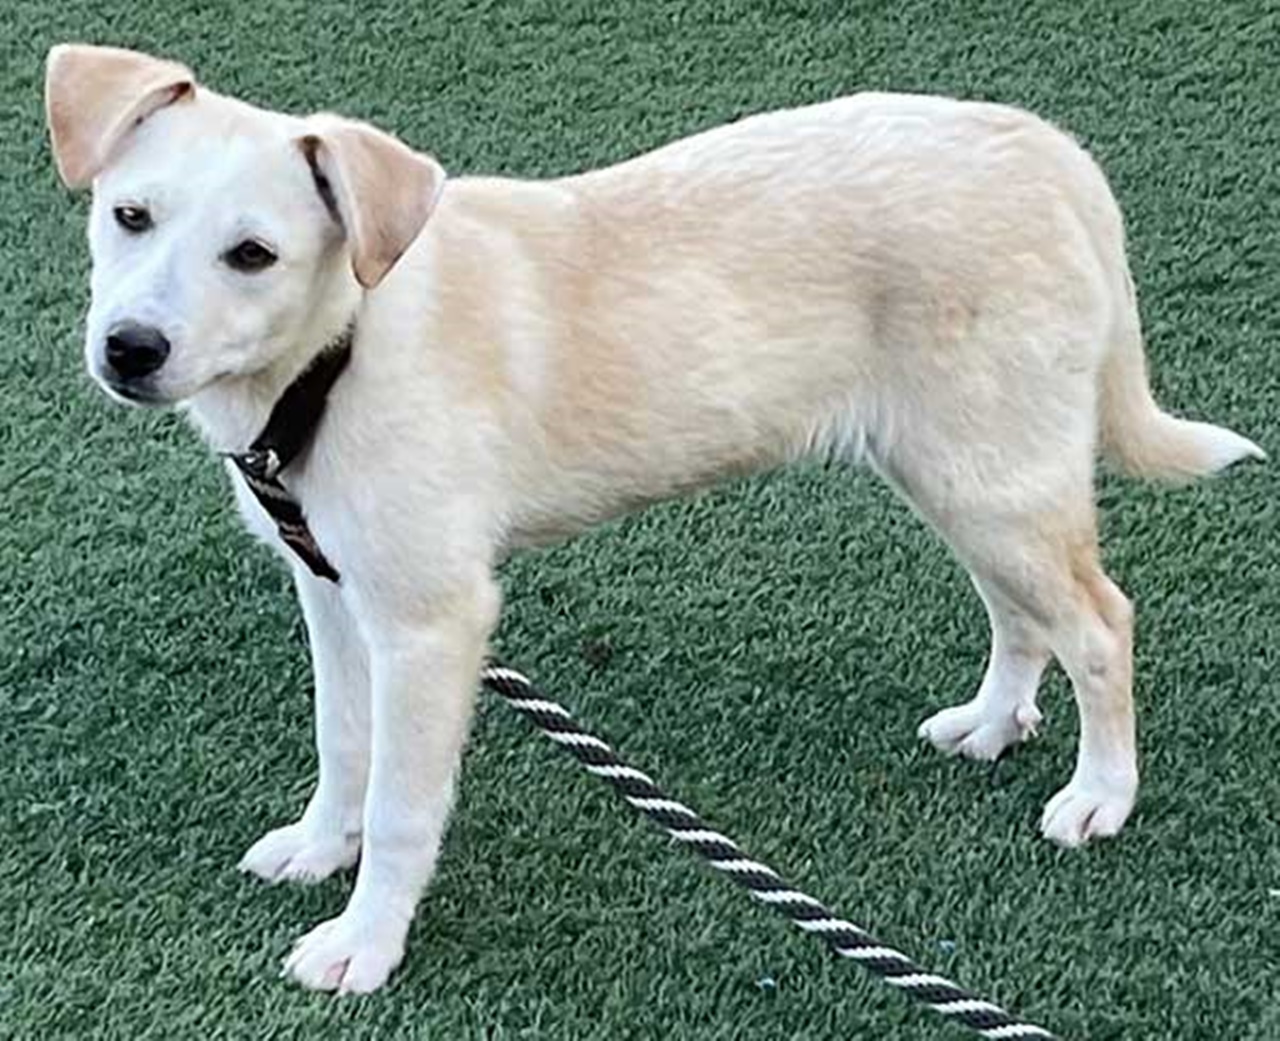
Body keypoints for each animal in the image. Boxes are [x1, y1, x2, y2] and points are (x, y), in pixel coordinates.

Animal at [45, 44, 1264, 993]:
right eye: (129, 216)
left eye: (252, 255)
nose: (129, 351)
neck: (340, 343)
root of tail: (1041, 148)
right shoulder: (335, 590)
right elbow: (343, 742)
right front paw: (316, 847)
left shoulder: (432, 620)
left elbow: (400, 801)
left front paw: (364, 945)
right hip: (963, 470)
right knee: (1021, 612)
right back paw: (993, 723)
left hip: (994, 474)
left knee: (1099, 623)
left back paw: (1100, 797)